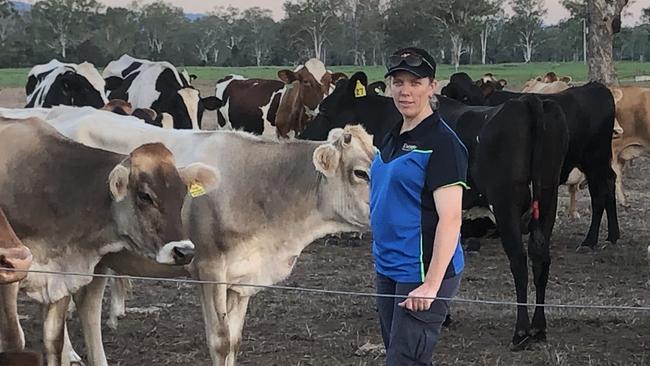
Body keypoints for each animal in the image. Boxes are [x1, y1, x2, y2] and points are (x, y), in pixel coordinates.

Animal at [0, 118, 218, 366]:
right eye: (145, 196)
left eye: (182, 195)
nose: (184, 252)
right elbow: (14, 340)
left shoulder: (60, 276)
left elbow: (54, 341)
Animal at [298, 72, 568, 348]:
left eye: (324, 109)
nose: (304, 136)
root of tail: (528, 102)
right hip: (548, 198)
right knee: (540, 258)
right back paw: (539, 327)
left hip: (506, 203)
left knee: (519, 262)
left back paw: (521, 331)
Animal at [440, 72, 616, 252]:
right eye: (464, 96)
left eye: (468, 96)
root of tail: (595, 87)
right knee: (610, 183)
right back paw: (612, 236)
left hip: (594, 161)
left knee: (599, 195)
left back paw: (589, 241)